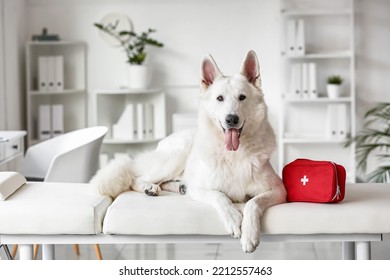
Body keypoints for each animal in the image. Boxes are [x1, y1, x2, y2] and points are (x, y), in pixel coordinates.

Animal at [91, 50, 286, 254]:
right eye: (220, 98)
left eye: (242, 97)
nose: (231, 119)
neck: (233, 154)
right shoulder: (200, 188)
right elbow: (220, 196)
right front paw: (233, 219)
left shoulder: (279, 190)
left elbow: (252, 203)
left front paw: (250, 234)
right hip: (177, 156)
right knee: (136, 179)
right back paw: (149, 188)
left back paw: (178, 187)